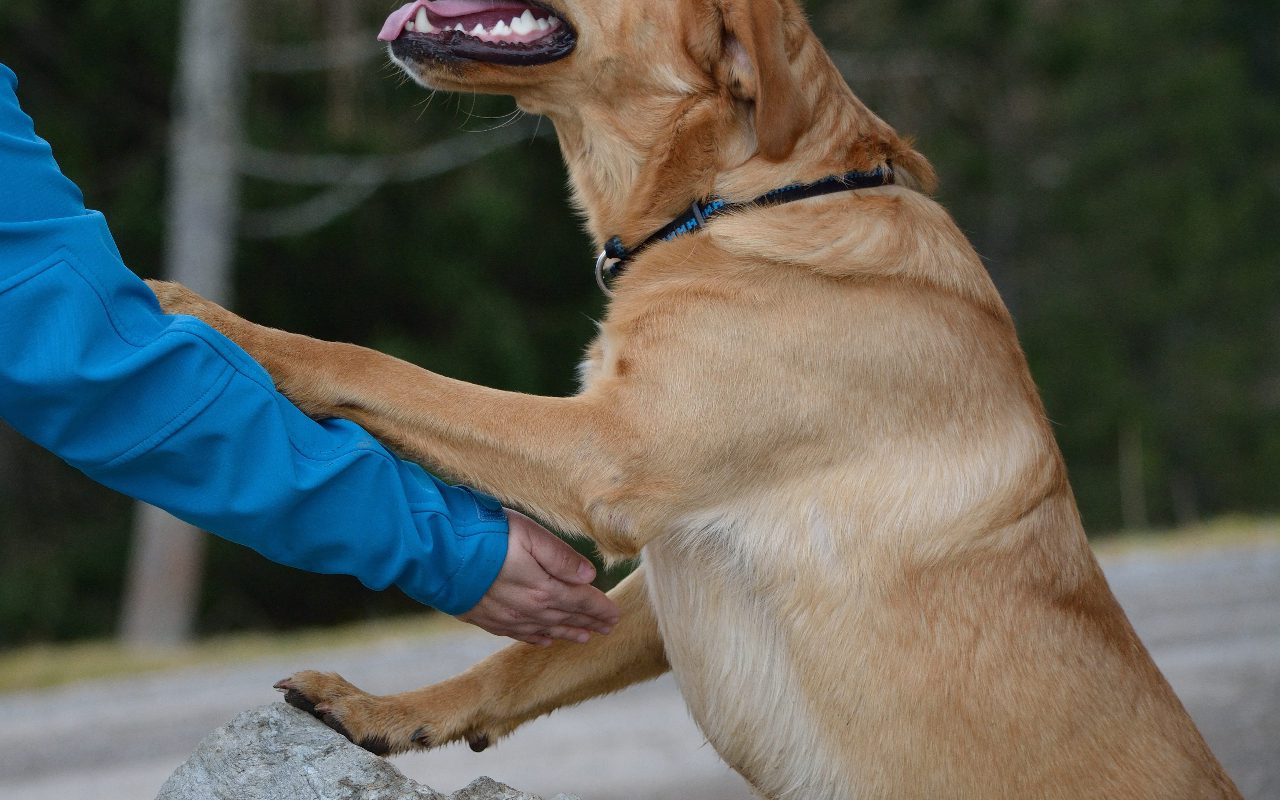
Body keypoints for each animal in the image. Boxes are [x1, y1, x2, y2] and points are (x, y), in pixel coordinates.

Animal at [149, 0, 1239, 793]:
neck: (740, 199)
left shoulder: (608, 453)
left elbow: (373, 365)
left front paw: (213, 319)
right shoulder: (664, 557)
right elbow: (514, 666)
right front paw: (385, 711)